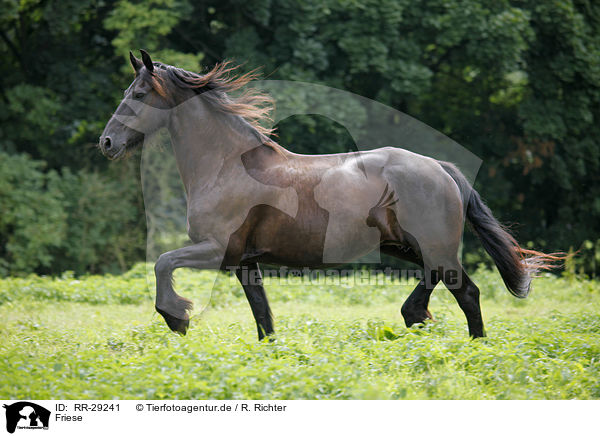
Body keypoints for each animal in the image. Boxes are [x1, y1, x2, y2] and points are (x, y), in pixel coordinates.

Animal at [98, 49, 564, 338]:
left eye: (139, 94)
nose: (106, 143)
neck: (226, 165)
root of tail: (443, 169)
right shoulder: (245, 262)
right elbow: (263, 318)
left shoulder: (216, 249)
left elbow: (162, 262)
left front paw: (177, 318)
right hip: (408, 247)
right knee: (445, 290)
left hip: (434, 247)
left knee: (462, 291)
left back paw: (459, 340)